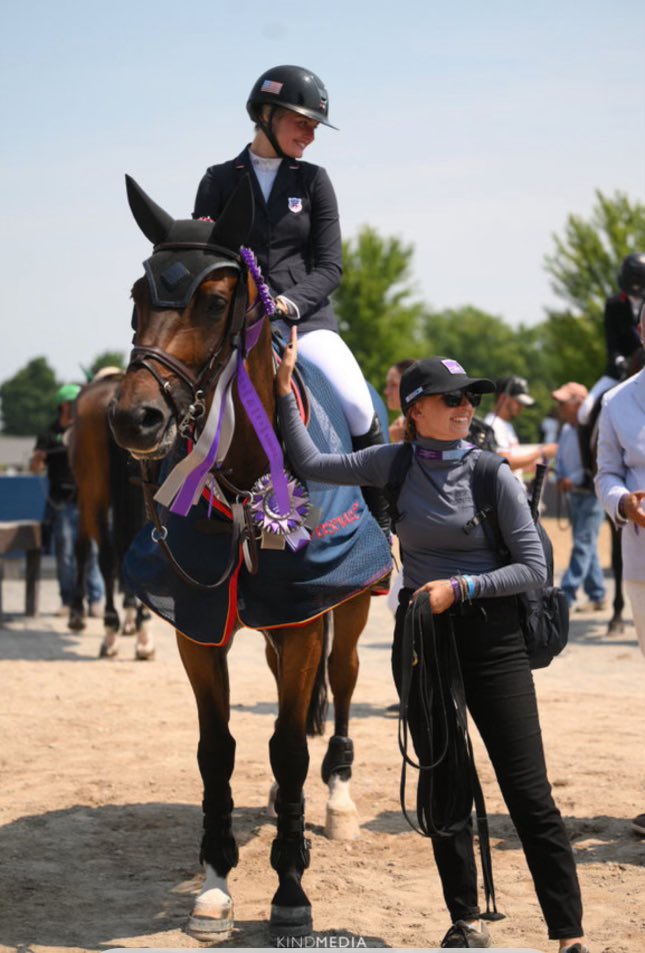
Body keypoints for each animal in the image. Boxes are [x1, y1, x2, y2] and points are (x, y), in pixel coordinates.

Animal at [68, 372, 154, 659]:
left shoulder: (84, 499)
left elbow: (82, 548)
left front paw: (76, 613)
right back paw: (143, 634)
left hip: (93, 492)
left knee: (105, 555)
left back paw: (111, 631)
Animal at [108, 174, 391, 942]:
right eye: (138, 295)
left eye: (212, 300)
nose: (134, 419)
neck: (241, 476)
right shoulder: (201, 625)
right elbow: (219, 750)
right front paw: (214, 885)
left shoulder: (305, 617)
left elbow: (291, 746)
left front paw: (290, 890)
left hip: (350, 603)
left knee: (343, 684)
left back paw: (338, 801)